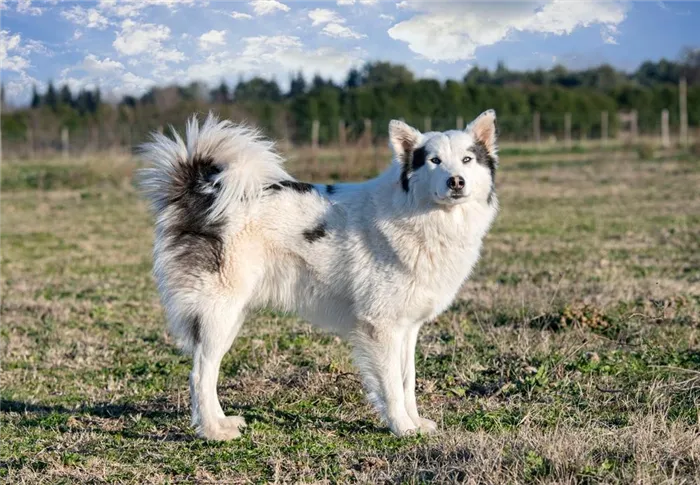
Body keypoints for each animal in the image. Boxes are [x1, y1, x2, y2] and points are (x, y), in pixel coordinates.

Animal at [138, 109, 498, 438]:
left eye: (467, 160)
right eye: (434, 161)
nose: (456, 181)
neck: (418, 213)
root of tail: (202, 189)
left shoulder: (406, 328)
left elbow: (407, 381)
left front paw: (416, 423)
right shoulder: (380, 328)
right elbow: (392, 386)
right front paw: (402, 427)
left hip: (230, 316)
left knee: (208, 370)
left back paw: (222, 422)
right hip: (218, 312)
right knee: (200, 373)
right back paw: (213, 432)